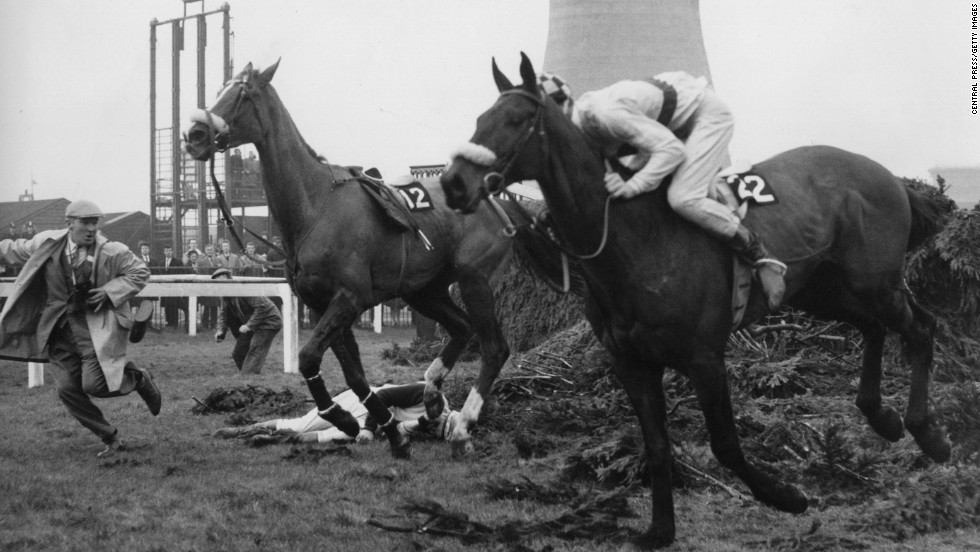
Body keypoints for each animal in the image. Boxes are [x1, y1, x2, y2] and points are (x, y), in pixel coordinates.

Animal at [185, 59, 520, 458]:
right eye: (220, 88)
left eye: (242, 93)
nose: (195, 134)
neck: (314, 206)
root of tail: (494, 203)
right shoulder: (322, 305)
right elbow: (355, 374)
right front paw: (391, 432)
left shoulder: (348, 299)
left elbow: (309, 357)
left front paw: (342, 418)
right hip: (424, 292)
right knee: (461, 329)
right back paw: (431, 391)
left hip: (474, 282)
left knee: (494, 348)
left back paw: (463, 423)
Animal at [440, 51, 944, 548]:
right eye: (479, 118)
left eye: (516, 119)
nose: (453, 183)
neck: (635, 243)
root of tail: (886, 174)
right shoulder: (632, 363)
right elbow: (656, 447)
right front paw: (660, 530)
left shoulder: (705, 359)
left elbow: (726, 444)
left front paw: (787, 497)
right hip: (821, 289)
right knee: (874, 327)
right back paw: (883, 418)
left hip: (874, 282)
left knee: (920, 328)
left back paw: (927, 434)